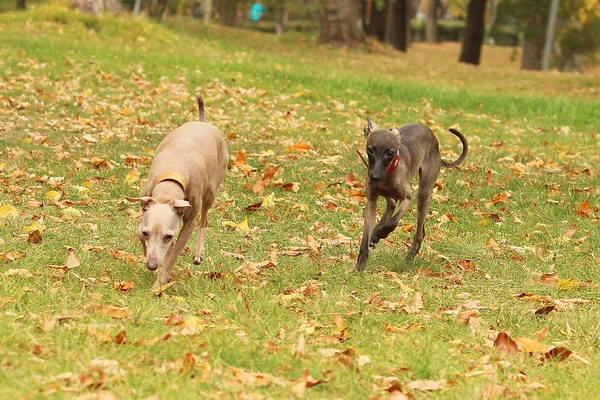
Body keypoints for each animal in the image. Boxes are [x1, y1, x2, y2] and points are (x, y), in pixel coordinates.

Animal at [127, 94, 229, 288]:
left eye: (168, 236)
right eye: (146, 233)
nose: (152, 266)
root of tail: (203, 122)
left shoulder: (188, 223)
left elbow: (173, 255)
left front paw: (159, 283)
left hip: (210, 192)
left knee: (204, 220)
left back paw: (198, 253)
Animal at [356, 117, 468, 270]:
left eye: (390, 152)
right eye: (370, 149)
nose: (375, 177)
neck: (389, 172)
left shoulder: (407, 199)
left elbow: (393, 222)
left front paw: (381, 232)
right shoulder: (372, 201)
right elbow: (365, 237)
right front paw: (360, 265)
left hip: (424, 194)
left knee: (419, 232)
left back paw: (409, 256)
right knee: (392, 203)